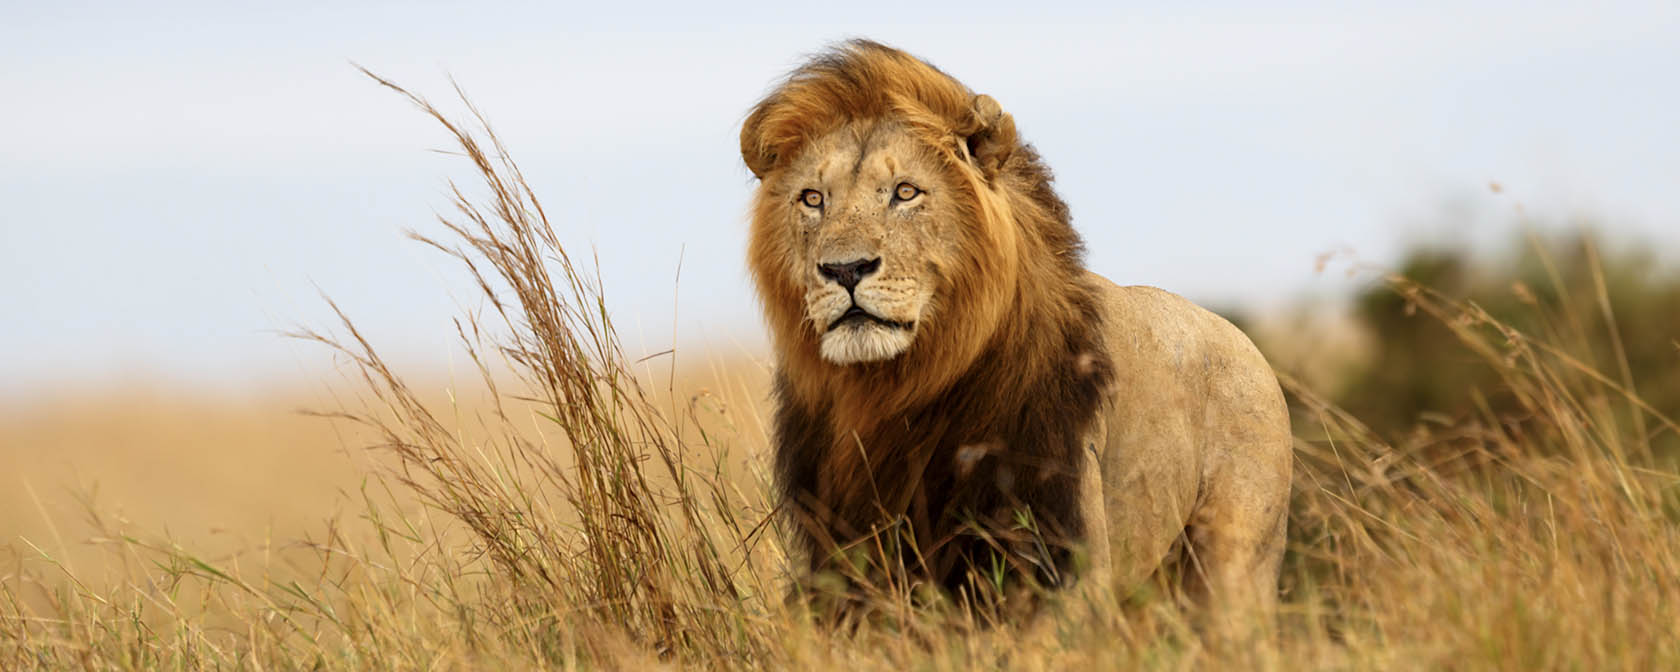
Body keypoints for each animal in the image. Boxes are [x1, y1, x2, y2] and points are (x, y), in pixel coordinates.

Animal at [742, 40, 1290, 618]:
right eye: (812, 199)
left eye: (905, 192)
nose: (845, 270)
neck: (895, 390)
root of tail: (1247, 345)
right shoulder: (842, 554)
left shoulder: (1060, 548)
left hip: (1235, 565)